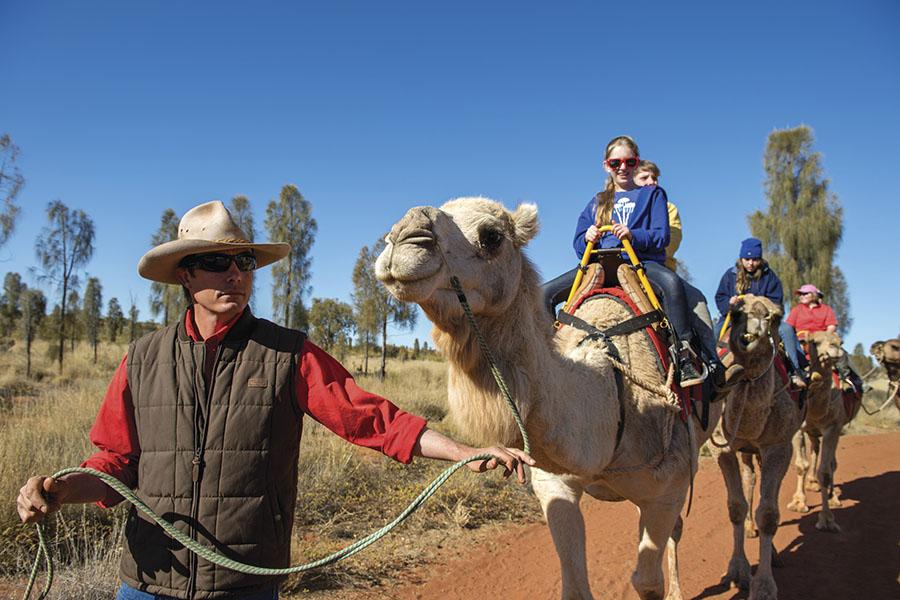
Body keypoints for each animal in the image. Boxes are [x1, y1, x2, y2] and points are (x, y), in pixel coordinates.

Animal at [374, 197, 722, 600]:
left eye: (492, 236)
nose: (402, 239)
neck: (616, 394)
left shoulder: (667, 490)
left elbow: (647, 581)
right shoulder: (555, 484)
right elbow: (575, 587)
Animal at [709, 295, 804, 600]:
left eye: (775, 317)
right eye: (736, 313)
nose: (750, 334)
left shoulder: (778, 446)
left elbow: (769, 514)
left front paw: (763, 586)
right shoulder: (723, 449)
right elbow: (736, 506)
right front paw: (737, 572)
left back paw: (772, 553)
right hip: (747, 451)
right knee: (750, 480)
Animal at [786, 330, 857, 532]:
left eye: (841, 341)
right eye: (814, 342)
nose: (835, 347)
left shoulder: (833, 427)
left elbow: (825, 472)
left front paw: (827, 519)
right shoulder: (799, 428)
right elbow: (801, 465)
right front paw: (799, 502)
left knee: (831, 463)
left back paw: (833, 497)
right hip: (813, 431)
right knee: (815, 449)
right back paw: (812, 483)